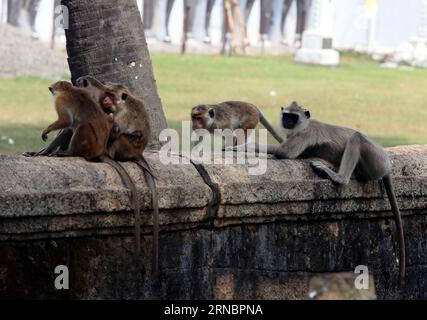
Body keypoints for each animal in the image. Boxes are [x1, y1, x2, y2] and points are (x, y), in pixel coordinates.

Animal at [43, 81, 144, 256]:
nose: (50, 89)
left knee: (82, 126)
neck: (70, 90)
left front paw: (48, 131)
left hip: (88, 143)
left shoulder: (60, 101)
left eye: (53, 89)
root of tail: (100, 150)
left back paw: (68, 153)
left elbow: (65, 121)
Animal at [234, 101, 408, 286]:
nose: (288, 122)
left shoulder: (307, 133)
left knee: (356, 137)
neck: (303, 125)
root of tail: (387, 165)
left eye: (294, 117)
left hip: (376, 158)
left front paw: (241, 147)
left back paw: (339, 177)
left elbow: (285, 153)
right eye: (287, 116)